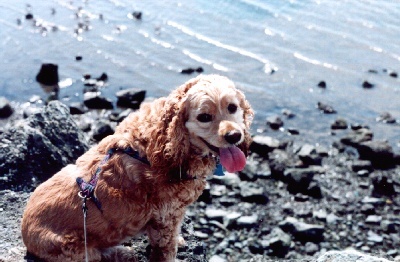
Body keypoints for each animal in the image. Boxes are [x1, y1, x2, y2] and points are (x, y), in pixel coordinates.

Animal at [21, 74, 253, 262]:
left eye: (232, 108)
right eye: (204, 117)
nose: (234, 136)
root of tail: (24, 232)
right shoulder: (165, 218)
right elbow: (166, 250)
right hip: (74, 247)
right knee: (96, 255)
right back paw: (123, 252)